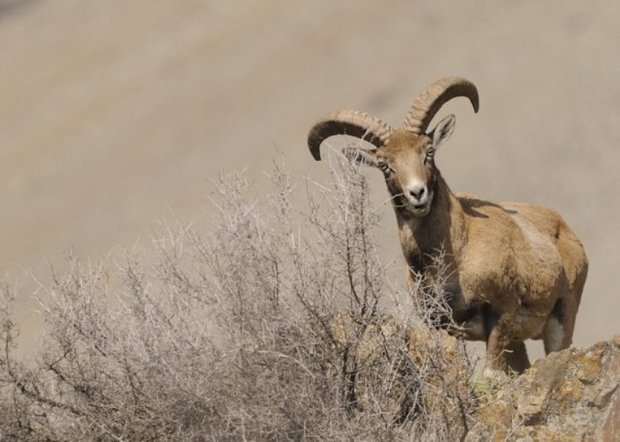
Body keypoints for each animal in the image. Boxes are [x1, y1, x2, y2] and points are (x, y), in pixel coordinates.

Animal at [308, 77, 588, 372]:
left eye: (428, 151)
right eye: (385, 165)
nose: (417, 193)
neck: (457, 254)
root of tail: (565, 232)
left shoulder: (502, 312)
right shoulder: (439, 325)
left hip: (562, 319)